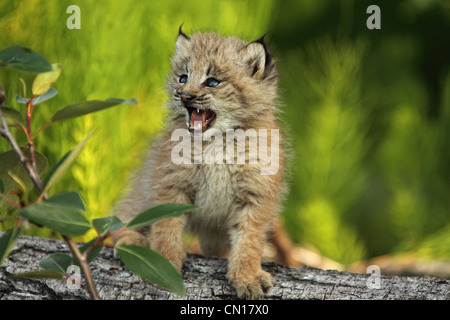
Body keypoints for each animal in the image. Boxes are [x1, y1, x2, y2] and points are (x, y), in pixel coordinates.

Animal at [114, 28, 286, 300]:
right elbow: (166, 226)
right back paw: (131, 240)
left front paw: (247, 276)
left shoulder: (256, 193)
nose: (184, 95)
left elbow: (249, 239)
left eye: (213, 82)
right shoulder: (170, 181)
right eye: (183, 78)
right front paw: (163, 260)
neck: (217, 142)